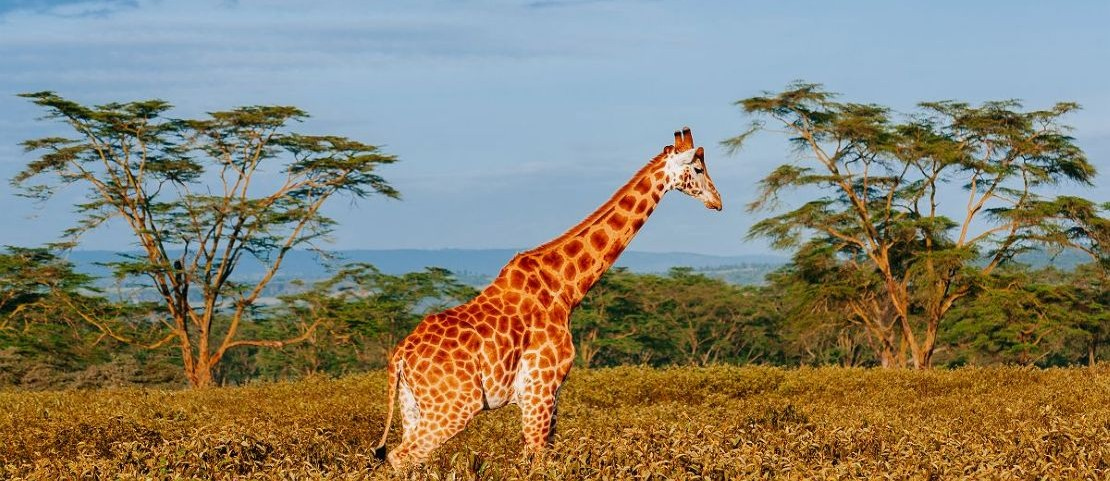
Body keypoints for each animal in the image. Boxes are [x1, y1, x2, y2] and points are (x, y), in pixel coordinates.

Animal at [373, 127, 722, 469]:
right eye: (698, 168)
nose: (717, 202)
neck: (564, 289)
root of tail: (400, 355)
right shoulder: (539, 390)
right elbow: (537, 460)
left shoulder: (551, 393)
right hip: (454, 405)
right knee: (401, 456)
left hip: (412, 406)